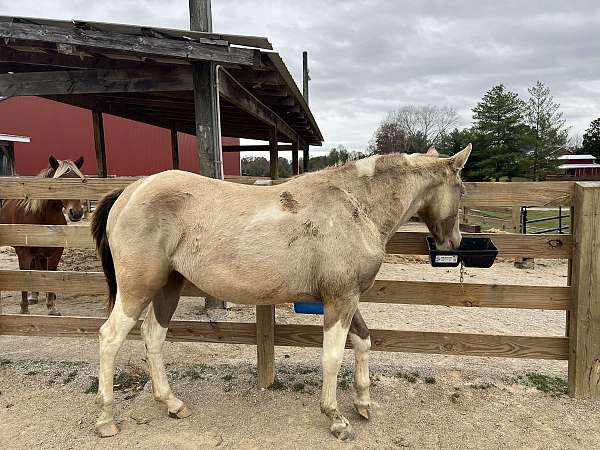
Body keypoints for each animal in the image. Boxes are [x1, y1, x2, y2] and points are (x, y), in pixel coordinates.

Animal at [0, 156, 85, 314]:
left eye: (81, 181)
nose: (76, 213)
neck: (42, 216)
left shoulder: (55, 252)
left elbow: (50, 274)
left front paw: (51, 307)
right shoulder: (24, 253)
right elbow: (25, 278)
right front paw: (24, 310)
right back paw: (33, 296)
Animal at [91, 145, 472, 440]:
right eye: (462, 189)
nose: (454, 242)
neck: (355, 205)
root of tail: (131, 191)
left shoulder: (348, 297)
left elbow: (363, 341)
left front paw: (363, 403)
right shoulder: (340, 300)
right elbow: (332, 357)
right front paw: (336, 419)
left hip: (168, 286)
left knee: (153, 335)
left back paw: (172, 403)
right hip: (137, 289)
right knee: (110, 338)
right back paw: (106, 419)